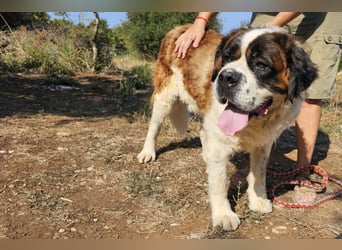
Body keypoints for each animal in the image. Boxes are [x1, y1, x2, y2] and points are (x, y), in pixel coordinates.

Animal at [136, 24, 318, 229]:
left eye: (261, 65)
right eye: (227, 58)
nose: (225, 76)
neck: (256, 122)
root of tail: (180, 28)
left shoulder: (263, 144)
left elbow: (259, 172)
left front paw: (258, 199)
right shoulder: (219, 143)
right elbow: (220, 181)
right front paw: (223, 214)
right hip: (164, 97)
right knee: (154, 126)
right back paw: (147, 152)